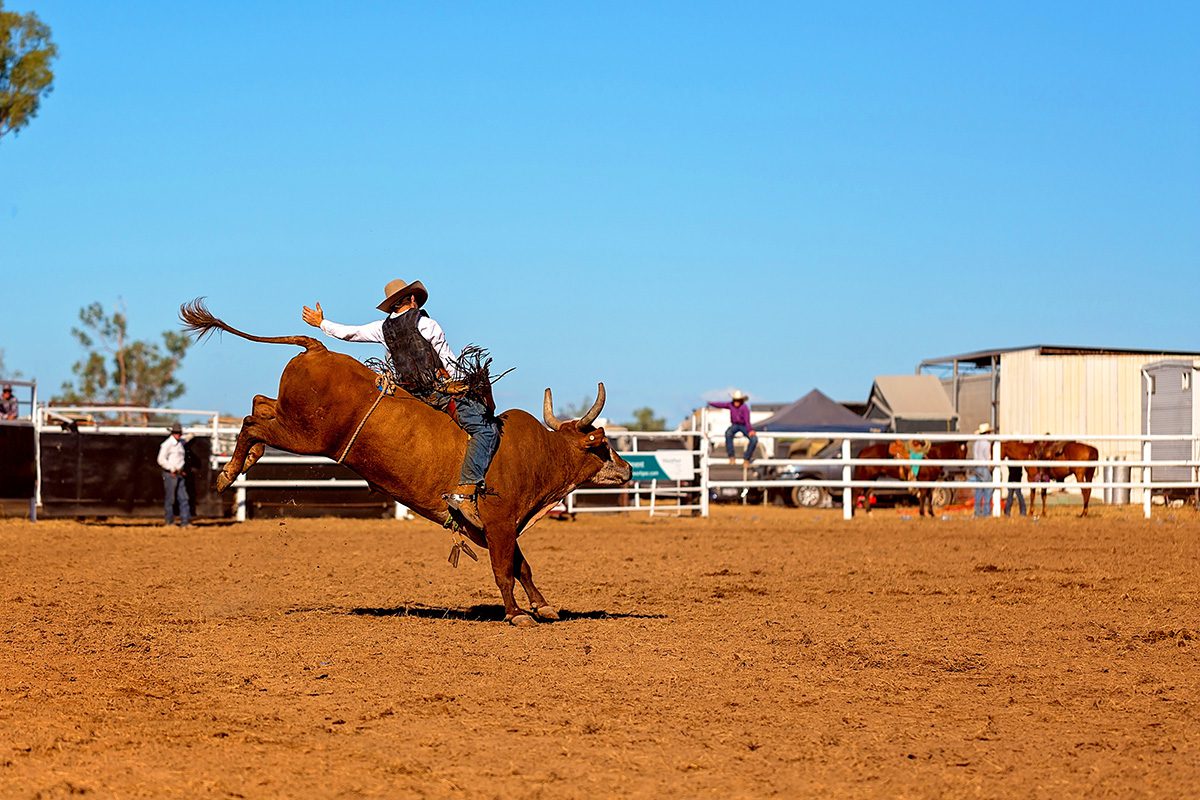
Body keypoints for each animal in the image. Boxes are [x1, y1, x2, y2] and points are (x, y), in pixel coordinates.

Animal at [177, 299, 633, 623]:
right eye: (602, 443)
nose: (628, 469)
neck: (539, 453)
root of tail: (317, 349)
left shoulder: (497, 528)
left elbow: (524, 567)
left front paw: (543, 606)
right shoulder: (500, 521)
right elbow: (505, 568)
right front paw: (517, 614)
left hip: (292, 419)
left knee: (258, 405)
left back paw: (242, 461)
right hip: (304, 435)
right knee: (254, 423)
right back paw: (228, 473)